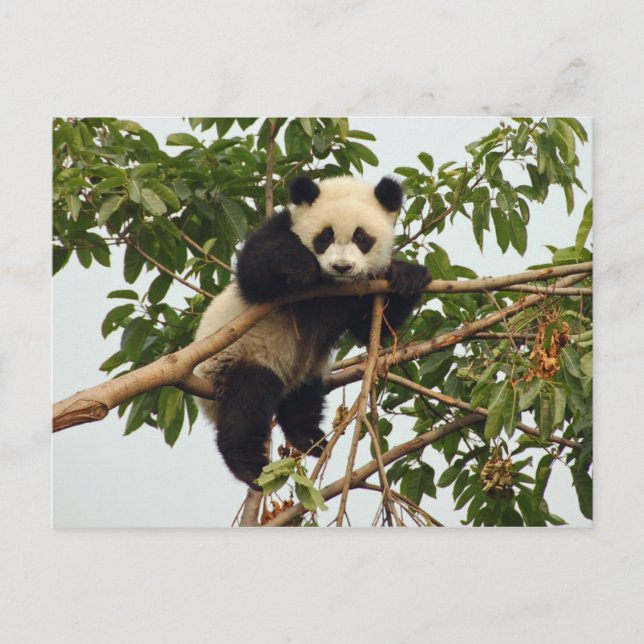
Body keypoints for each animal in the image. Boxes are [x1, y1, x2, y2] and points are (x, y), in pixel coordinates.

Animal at [194, 175, 431, 489]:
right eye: (325, 236)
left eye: (361, 238)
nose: (342, 266)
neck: (331, 286)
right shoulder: (278, 231)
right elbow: (254, 272)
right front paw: (301, 266)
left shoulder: (359, 291)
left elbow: (371, 327)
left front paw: (408, 274)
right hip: (237, 357)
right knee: (248, 401)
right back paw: (249, 465)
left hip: (302, 369)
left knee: (303, 400)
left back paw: (308, 438)